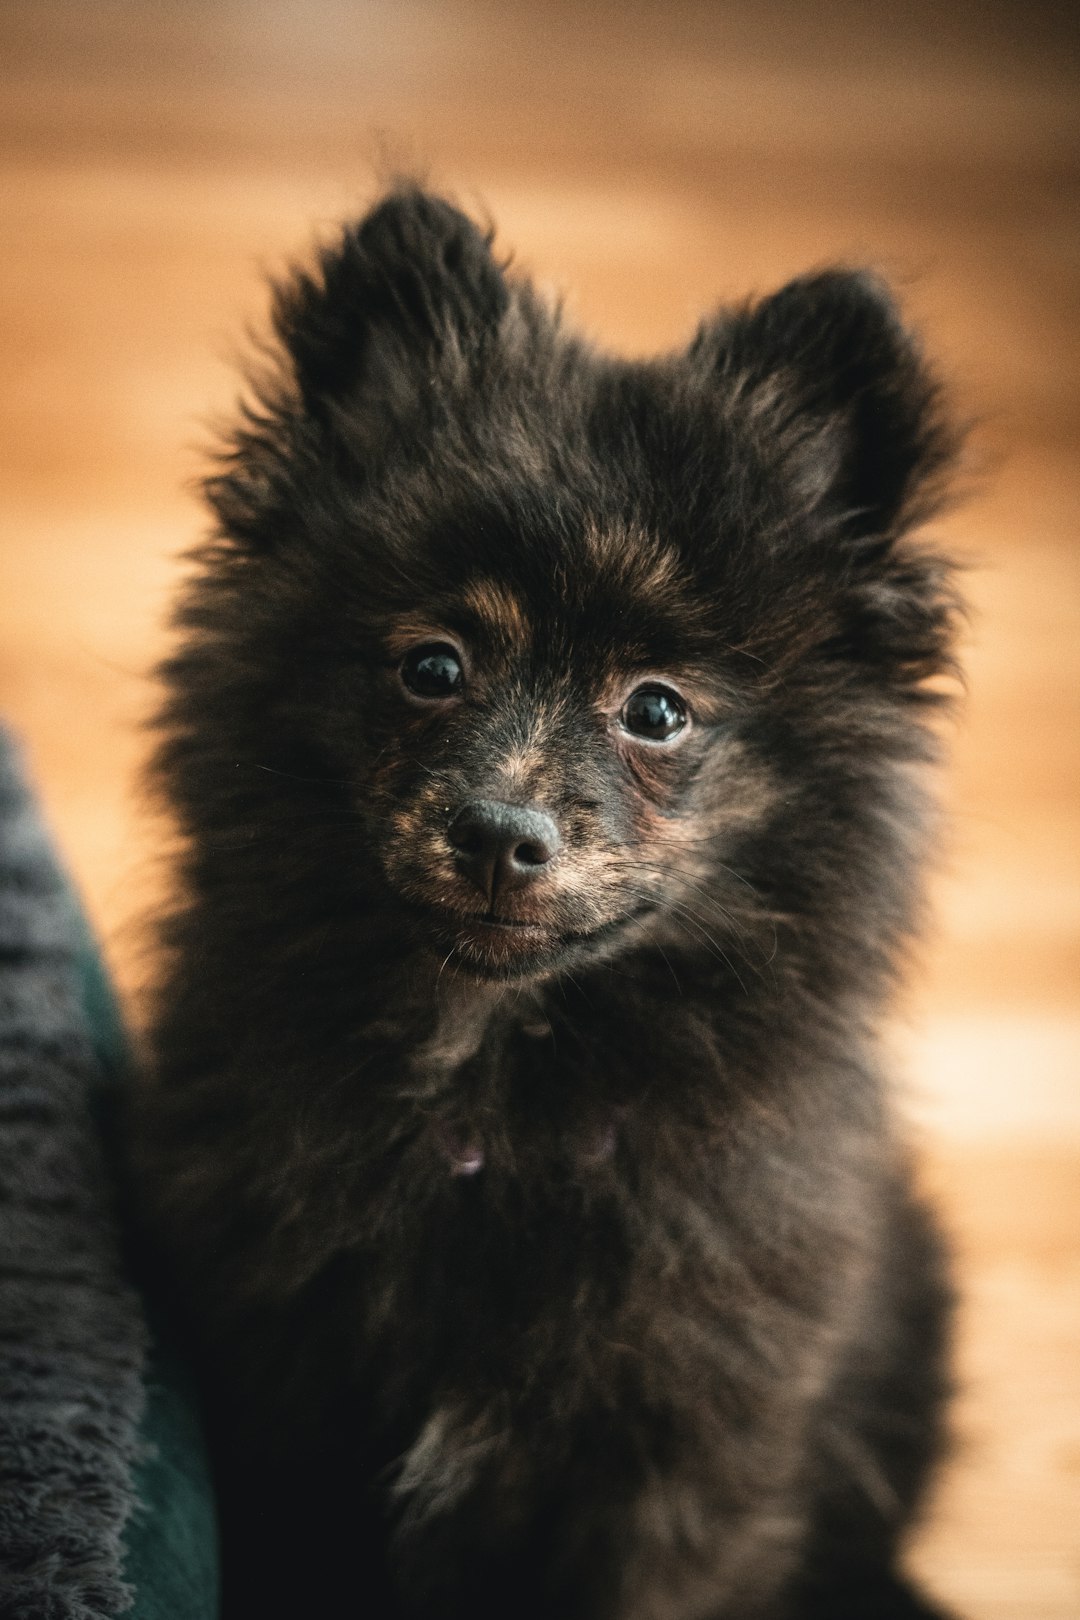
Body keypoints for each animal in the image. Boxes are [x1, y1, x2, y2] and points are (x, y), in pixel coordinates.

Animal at [135, 183, 965, 1613]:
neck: (492, 1103)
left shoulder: (681, 1467)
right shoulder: (286, 1423)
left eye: (657, 710)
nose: (499, 834)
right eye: (432, 666)